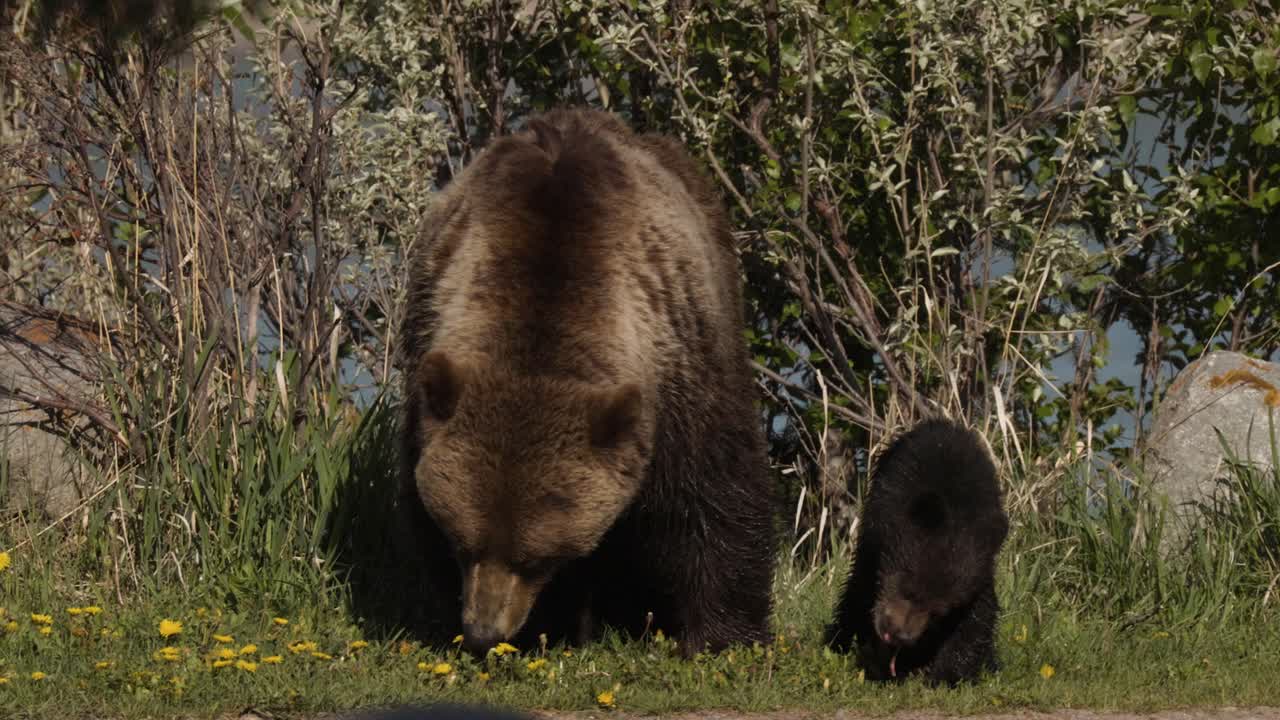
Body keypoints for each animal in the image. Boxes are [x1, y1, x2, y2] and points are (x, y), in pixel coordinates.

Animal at [395, 107, 777, 658]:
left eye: (535, 557)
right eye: (463, 542)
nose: (485, 631)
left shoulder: (682, 362)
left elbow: (714, 494)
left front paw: (722, 637)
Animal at [825, 418, 1008, 685]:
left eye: (939, 611)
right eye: (908, 589)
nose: (897, 635)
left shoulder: (980, 567)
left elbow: (977, 615)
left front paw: (948, 674)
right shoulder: (877, 536)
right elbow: (862, 589)